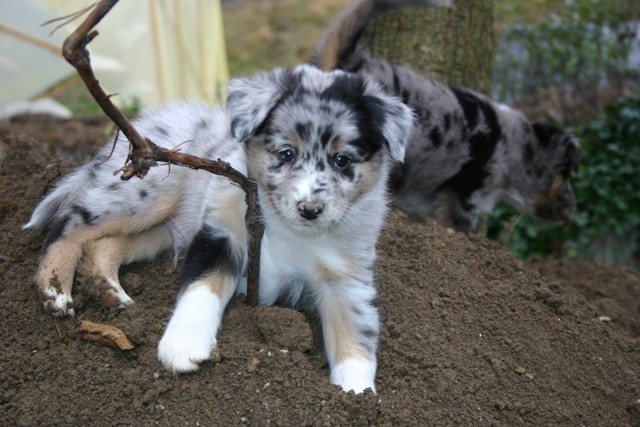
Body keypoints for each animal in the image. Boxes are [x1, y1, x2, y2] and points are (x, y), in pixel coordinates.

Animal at [23, 64, 416, 394]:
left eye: (342, 161)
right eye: (286, 154)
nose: (309, 210)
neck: (289, 229)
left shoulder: (346, 277)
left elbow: (357, 333)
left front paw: (356, 394)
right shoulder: (222, 235)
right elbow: (201, 288)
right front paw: (182, 346)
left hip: (159, 229)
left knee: (104, 244)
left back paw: (110, 291)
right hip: (143, 193)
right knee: (71, 223)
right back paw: (55, 289)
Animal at [312, 0, 584, 234]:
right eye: (565, 176)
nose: (573, 211)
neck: (513, 146)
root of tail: (349, 60)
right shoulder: (465, 191)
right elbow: (460, 225)